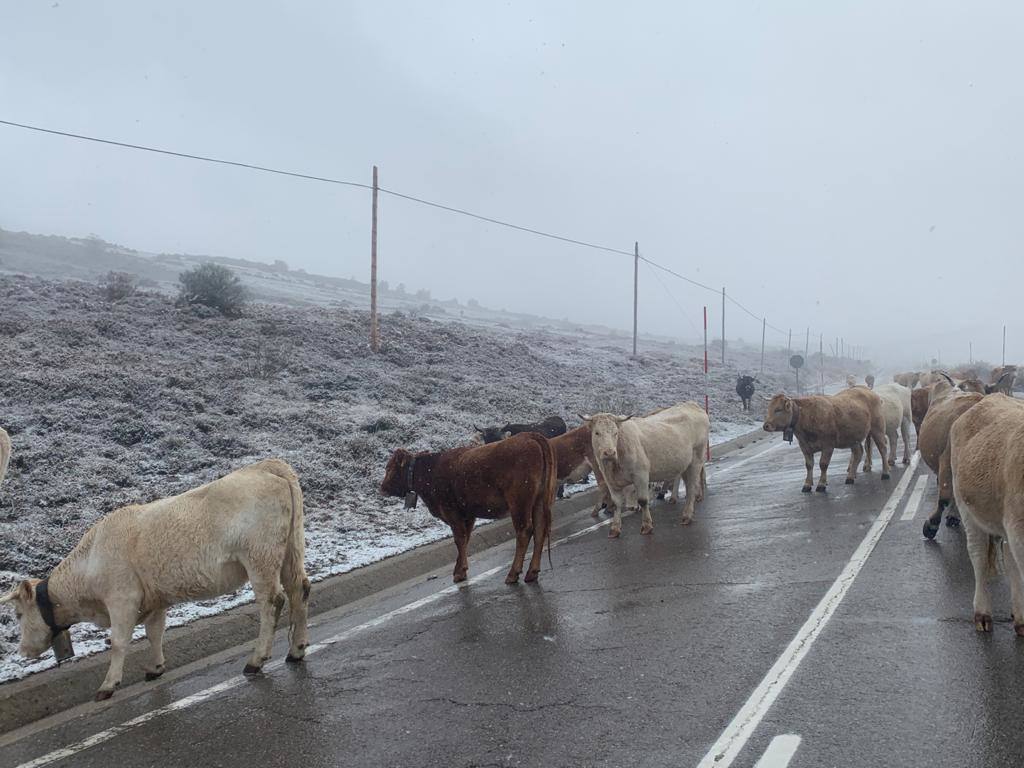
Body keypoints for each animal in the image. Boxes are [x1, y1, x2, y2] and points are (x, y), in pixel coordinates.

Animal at [1, 460, 311, 700]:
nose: (22, 651)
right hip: (291, 552)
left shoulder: (122, 598)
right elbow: (155, 632)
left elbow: (119, 642)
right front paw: (155, 668)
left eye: (18, 614)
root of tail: (266, 466)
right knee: (300, 590)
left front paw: (108, 684)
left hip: (260, 558)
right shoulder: (155, 599)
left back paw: (256, 660)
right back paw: (296, 651)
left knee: (272, 602)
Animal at [380, 434, 557, 581]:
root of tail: (529, 436)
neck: (430, 471)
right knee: (540, 530)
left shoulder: (452, 513)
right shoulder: (468, 515)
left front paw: (460, 572)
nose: (382, 488)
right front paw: (459, 569)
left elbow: (459, 539)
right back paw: (532, 573)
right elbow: (466, 539)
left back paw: (513, 574)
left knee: (524, 531)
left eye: (389, 468)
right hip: (538, 502)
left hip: (519, 503)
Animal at [581, 403, 708, 540]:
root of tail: (691, 404)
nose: (609, 452)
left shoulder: (640, 475)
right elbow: (616, 504)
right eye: (597, 433)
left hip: (696, 461)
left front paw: (647, 526)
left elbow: (642, 500)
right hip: (684, 465)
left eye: (615, 433)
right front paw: (614, 529)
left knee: (692, 488)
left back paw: (687, 516)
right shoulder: (610, 480)